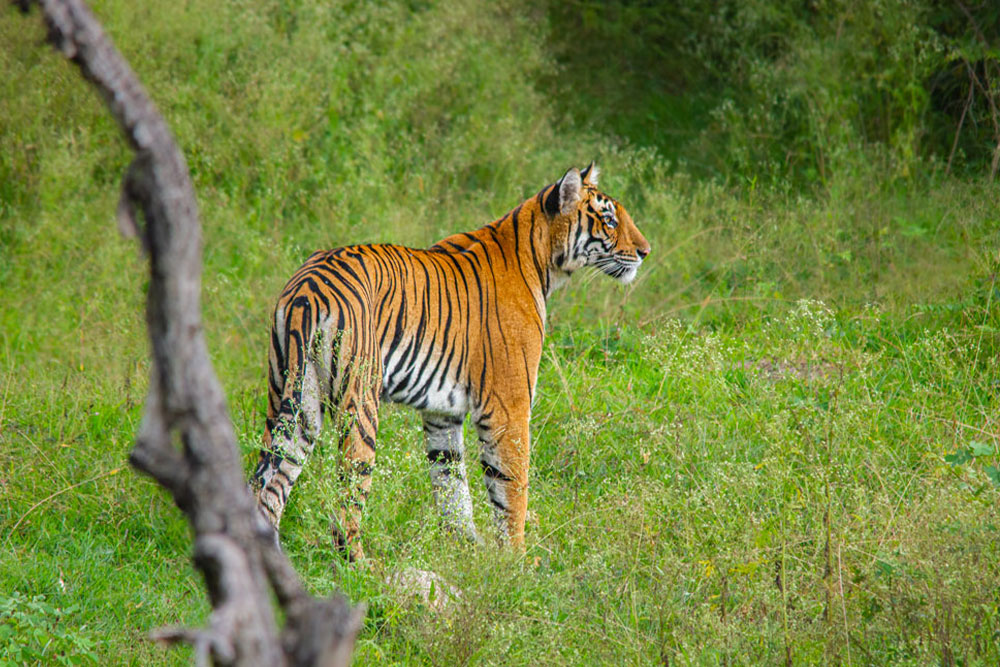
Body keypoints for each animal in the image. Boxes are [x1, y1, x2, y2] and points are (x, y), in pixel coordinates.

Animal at [251, 163, 650, 561]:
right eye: (610, 221)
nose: (645, 251)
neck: (541, 259)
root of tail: (306, 289)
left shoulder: (442, 411)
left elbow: (451, 484)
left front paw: (465, 549)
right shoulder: (510, 406)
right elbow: (512, 488)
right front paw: (516, 559)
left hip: (295, 402)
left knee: (268, 486)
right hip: (359, 401)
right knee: (346, 502)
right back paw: (363, 566)